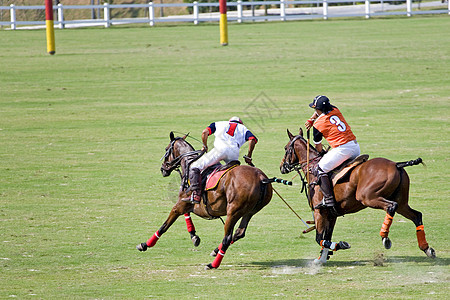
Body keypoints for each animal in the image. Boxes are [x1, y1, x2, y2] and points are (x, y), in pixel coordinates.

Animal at [135, 132, 272, 268]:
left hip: (233, 211)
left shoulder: (180, 205)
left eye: (166, 149)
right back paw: (216, 250)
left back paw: (213, 264)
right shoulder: (187, 203)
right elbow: (186, 215)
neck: (189, 164)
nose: (163, 169)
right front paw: (194, 236)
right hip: (250, 212)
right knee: (239, 233)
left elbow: (164, 226)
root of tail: (261, 177)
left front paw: (144, 245)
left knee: (227, 237)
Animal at [280, 128, 434, 262]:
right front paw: (322, 259)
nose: (282, 167)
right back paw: (426, 248)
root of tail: (396, 165)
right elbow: (326, 237)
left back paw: (385, 238)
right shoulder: (332, 214)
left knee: (391, 207)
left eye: (286, 148)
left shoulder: (320, 212)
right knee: (416, 215)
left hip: (368, 197)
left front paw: (340, 245)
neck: (313, 169)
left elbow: (319, 238)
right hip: (402, 202)